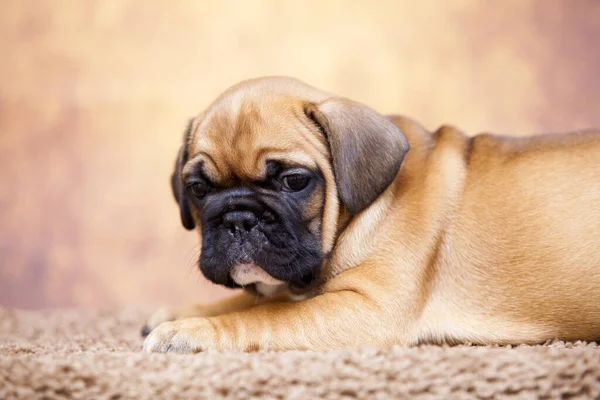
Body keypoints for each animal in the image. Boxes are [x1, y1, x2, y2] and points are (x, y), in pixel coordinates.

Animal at [142, 76, 600, 354]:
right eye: (198, 189)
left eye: (294, 181)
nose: (238, 218)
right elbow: (245, 300)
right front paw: (181, 313)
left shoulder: (367, 308)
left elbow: (267, 315)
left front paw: (188, 332)